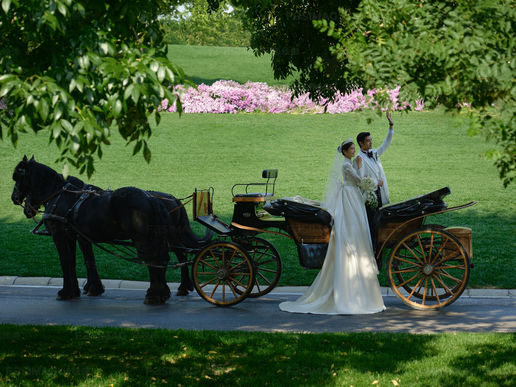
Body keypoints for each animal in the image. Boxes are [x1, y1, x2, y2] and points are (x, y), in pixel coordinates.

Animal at [11, 156, 210, 304]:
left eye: (17, 177)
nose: (15, 198)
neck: (61, 195)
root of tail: (152, 198)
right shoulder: (76, 236)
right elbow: (83, 260)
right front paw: (86, 288)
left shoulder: (60, 235)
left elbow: (66, 262)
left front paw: (68, 291)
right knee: (169, 257)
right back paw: (168, 291)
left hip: (144, 238)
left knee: (157, 259)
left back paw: (156, 294)